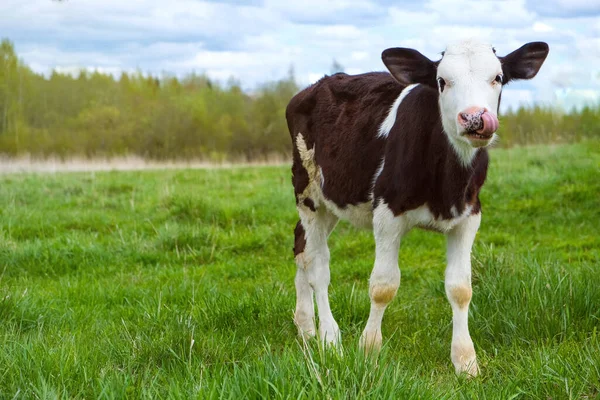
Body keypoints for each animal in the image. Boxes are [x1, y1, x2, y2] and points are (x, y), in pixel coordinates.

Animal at [286, 39, 548, 374]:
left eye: (498, 78)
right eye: (441, 81)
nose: (474, 118)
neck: (446, 186)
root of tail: (315, 86)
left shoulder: (470, 215)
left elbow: (460, 288)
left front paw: (465, 361)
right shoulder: (387, 211)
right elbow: (383, 286)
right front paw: (368, 352)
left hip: (334, 198)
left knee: (301, 246)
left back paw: (306, 328)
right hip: (307, 190)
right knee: (317, 264)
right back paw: (329, 339)